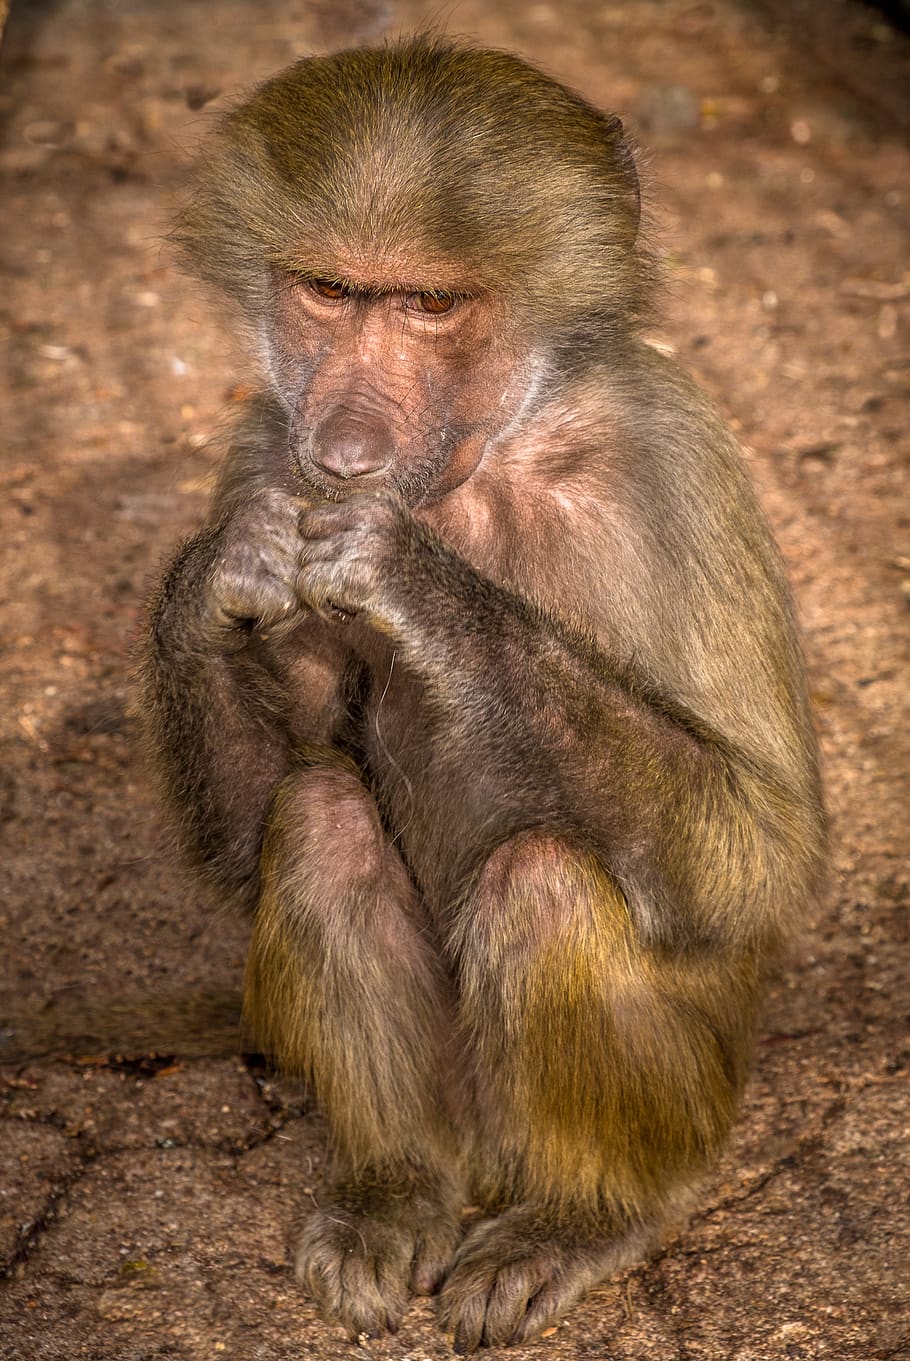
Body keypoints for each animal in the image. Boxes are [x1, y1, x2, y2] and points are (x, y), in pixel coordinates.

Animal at [141, 36, 826, 1352]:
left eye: (430, 305)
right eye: (330, 291)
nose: (345, 445)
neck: (479, 467)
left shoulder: (671, 453)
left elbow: (761, 853)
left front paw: (415, 584)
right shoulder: (264, 449)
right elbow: (247, 843)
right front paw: (219, 573)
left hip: (693, 1095)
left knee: (544, 877)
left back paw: (582, 1214)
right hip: (460, 1115)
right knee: (322, 818)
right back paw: (395, 1188)